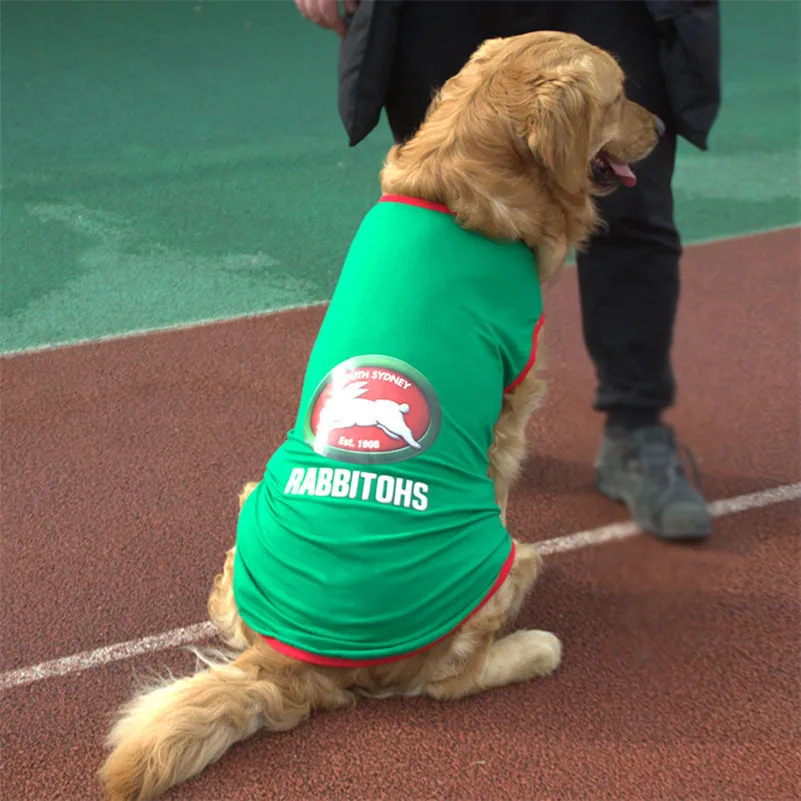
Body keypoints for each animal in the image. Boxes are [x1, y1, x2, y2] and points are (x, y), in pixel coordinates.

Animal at [100, 28, 660, 796]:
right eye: (620, 94)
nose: (662, 129)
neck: (456, 185)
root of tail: (290, 664)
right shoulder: (512, 398)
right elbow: (502, 477)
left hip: (249, 503)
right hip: (508, 560)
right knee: (445, 680)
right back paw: (533, 646)